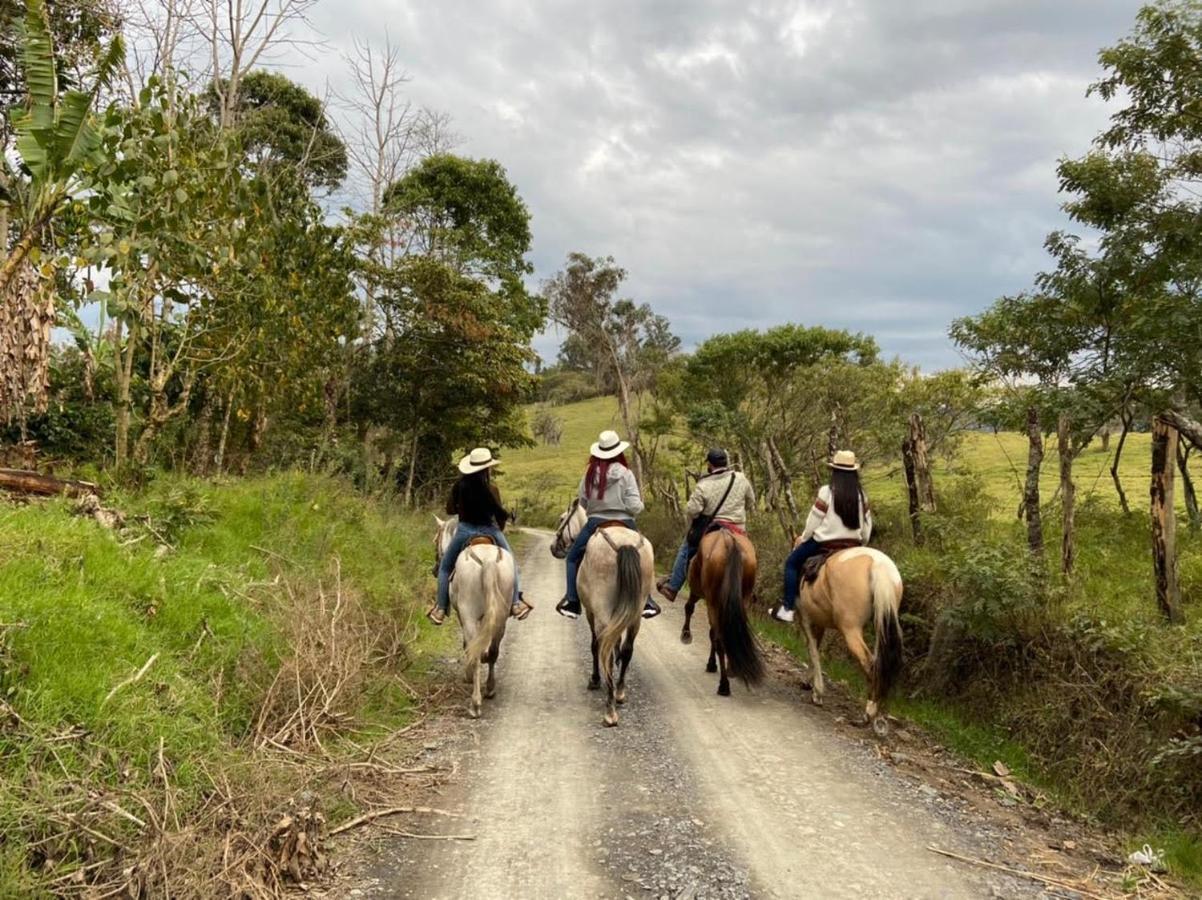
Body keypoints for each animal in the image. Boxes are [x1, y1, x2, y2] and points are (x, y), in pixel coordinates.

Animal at [435, 511, 514, 716]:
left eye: (435, 539)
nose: (435, 568)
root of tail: (488, 561)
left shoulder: (463, 616)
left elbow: (467, 645)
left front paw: (468, 675)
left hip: (469, 615)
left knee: (476, 652)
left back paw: (475, 703)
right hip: (500, 618)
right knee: (493, 652)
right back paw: (490, 689)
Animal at [682, 526, 764, 696]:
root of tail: (730, 541)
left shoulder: (698, 594)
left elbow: (690, 609)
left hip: (712, 601)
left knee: (719, 638)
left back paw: (724, 685)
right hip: (742, 598)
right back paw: (732, 669)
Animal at [798, 543, 903, 735]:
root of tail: (879, 565)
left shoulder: (806, 619)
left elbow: (812, 650)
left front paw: (817, 692)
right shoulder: (819, 622)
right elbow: (815, 648)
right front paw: (809, 682)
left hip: (851, 629)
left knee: (869, 664)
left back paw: (868, 714)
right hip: (881, 625)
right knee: (881, 665)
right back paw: (880, 717)